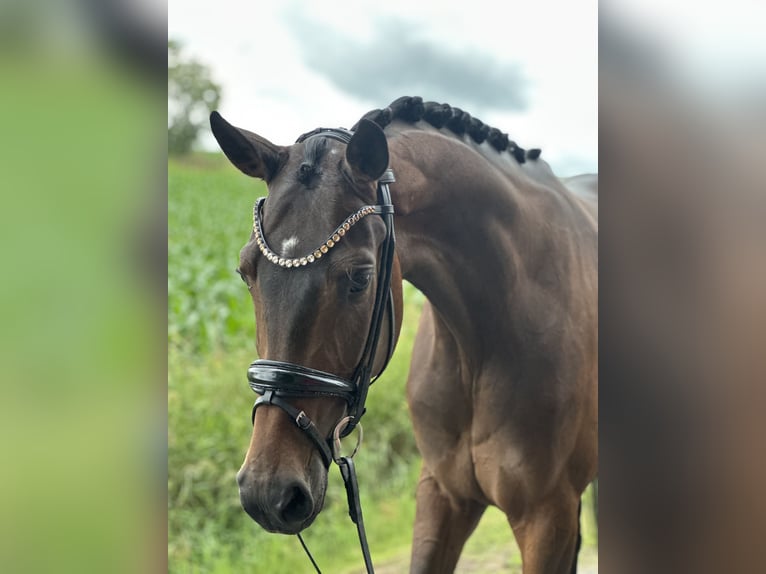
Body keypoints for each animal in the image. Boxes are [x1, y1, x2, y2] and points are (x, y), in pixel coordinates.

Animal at [210, 96, 598, 574]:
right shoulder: (442, 494)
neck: (484, 343)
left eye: (360, 278)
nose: (267, 493)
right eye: (245, 271)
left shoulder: (547, 516)